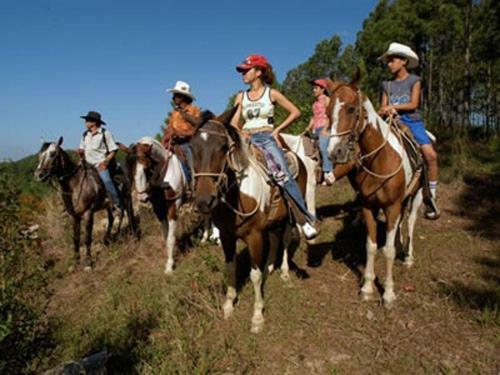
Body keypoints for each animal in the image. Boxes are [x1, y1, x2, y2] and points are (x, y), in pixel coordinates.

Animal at [34, 137, 138, 270]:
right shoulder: (74, 216)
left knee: (128, 213)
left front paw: (88, 262)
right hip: (108, 205)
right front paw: (75, 261)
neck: (76, 185)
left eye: (52, 153)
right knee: (112, 219)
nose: (38, 175)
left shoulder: (88, 213)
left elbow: (87, 238)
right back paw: (107, 238)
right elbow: (76, 238)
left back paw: (133, 235)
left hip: (126, 197)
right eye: (40, 154)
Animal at [187, 107, 304, 334]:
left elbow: (254, 275)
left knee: (285, 241)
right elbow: (230, 268)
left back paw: (285, 273)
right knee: (275, 240)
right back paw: (270, 267)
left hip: (289, 216)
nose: (205, 201)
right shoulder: (227, 236)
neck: (237, 197)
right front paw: (228, 306)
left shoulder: (255, 236)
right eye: (191, 147)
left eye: (224, 147)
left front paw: (257, 317)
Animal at [326, 78, 424, 306]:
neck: (380, 159)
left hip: (416, 196)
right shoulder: (369, 207)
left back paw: (408, 257)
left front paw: (388, 293)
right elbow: (371, 246)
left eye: (351, 109)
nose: (335, 152)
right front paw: (367, 288)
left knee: (411, 221)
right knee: (399, 226)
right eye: (327, 112)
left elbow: (387, 251)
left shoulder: (392, 206)